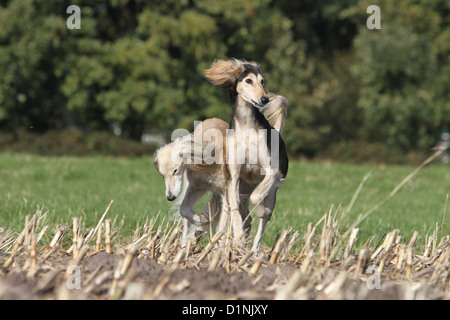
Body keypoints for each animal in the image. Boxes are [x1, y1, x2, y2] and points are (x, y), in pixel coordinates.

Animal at [155, 93, 288, 248]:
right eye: (162, 175)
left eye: (175, 171)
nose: (170, 197)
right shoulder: (197, 187)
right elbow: (184, 210)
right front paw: (201, 220)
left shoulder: (225, 192)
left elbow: (223, 223)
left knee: (255, 217)